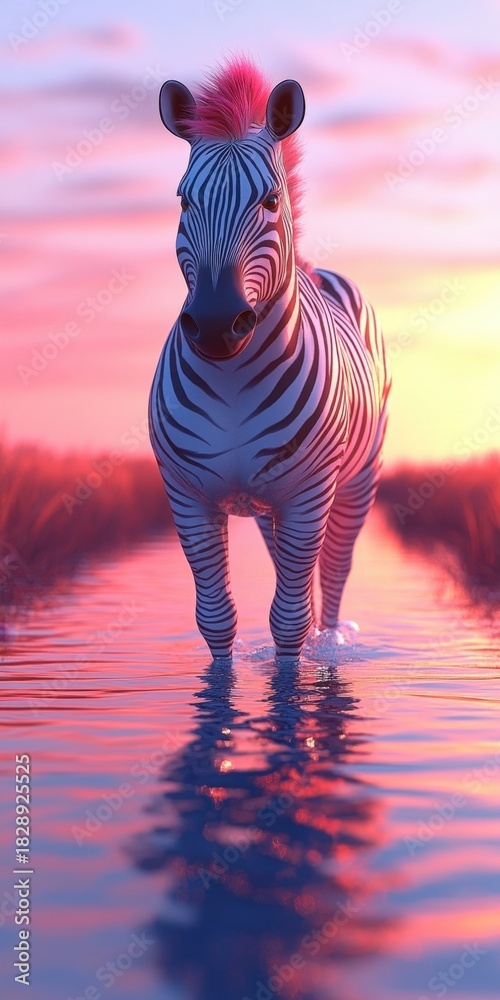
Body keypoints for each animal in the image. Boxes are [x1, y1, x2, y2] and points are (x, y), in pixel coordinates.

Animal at [149, 57, 391, 663]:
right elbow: (216, 621)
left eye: (271, 201)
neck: (232, 381)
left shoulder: (307, 494)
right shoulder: (187, 496)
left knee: (333, 574)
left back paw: (331, 643)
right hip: (269, 507)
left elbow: (288, 622)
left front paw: (292, 681)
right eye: (184, 202)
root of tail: (314, 267)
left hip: (357, 479)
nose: (215, 324)